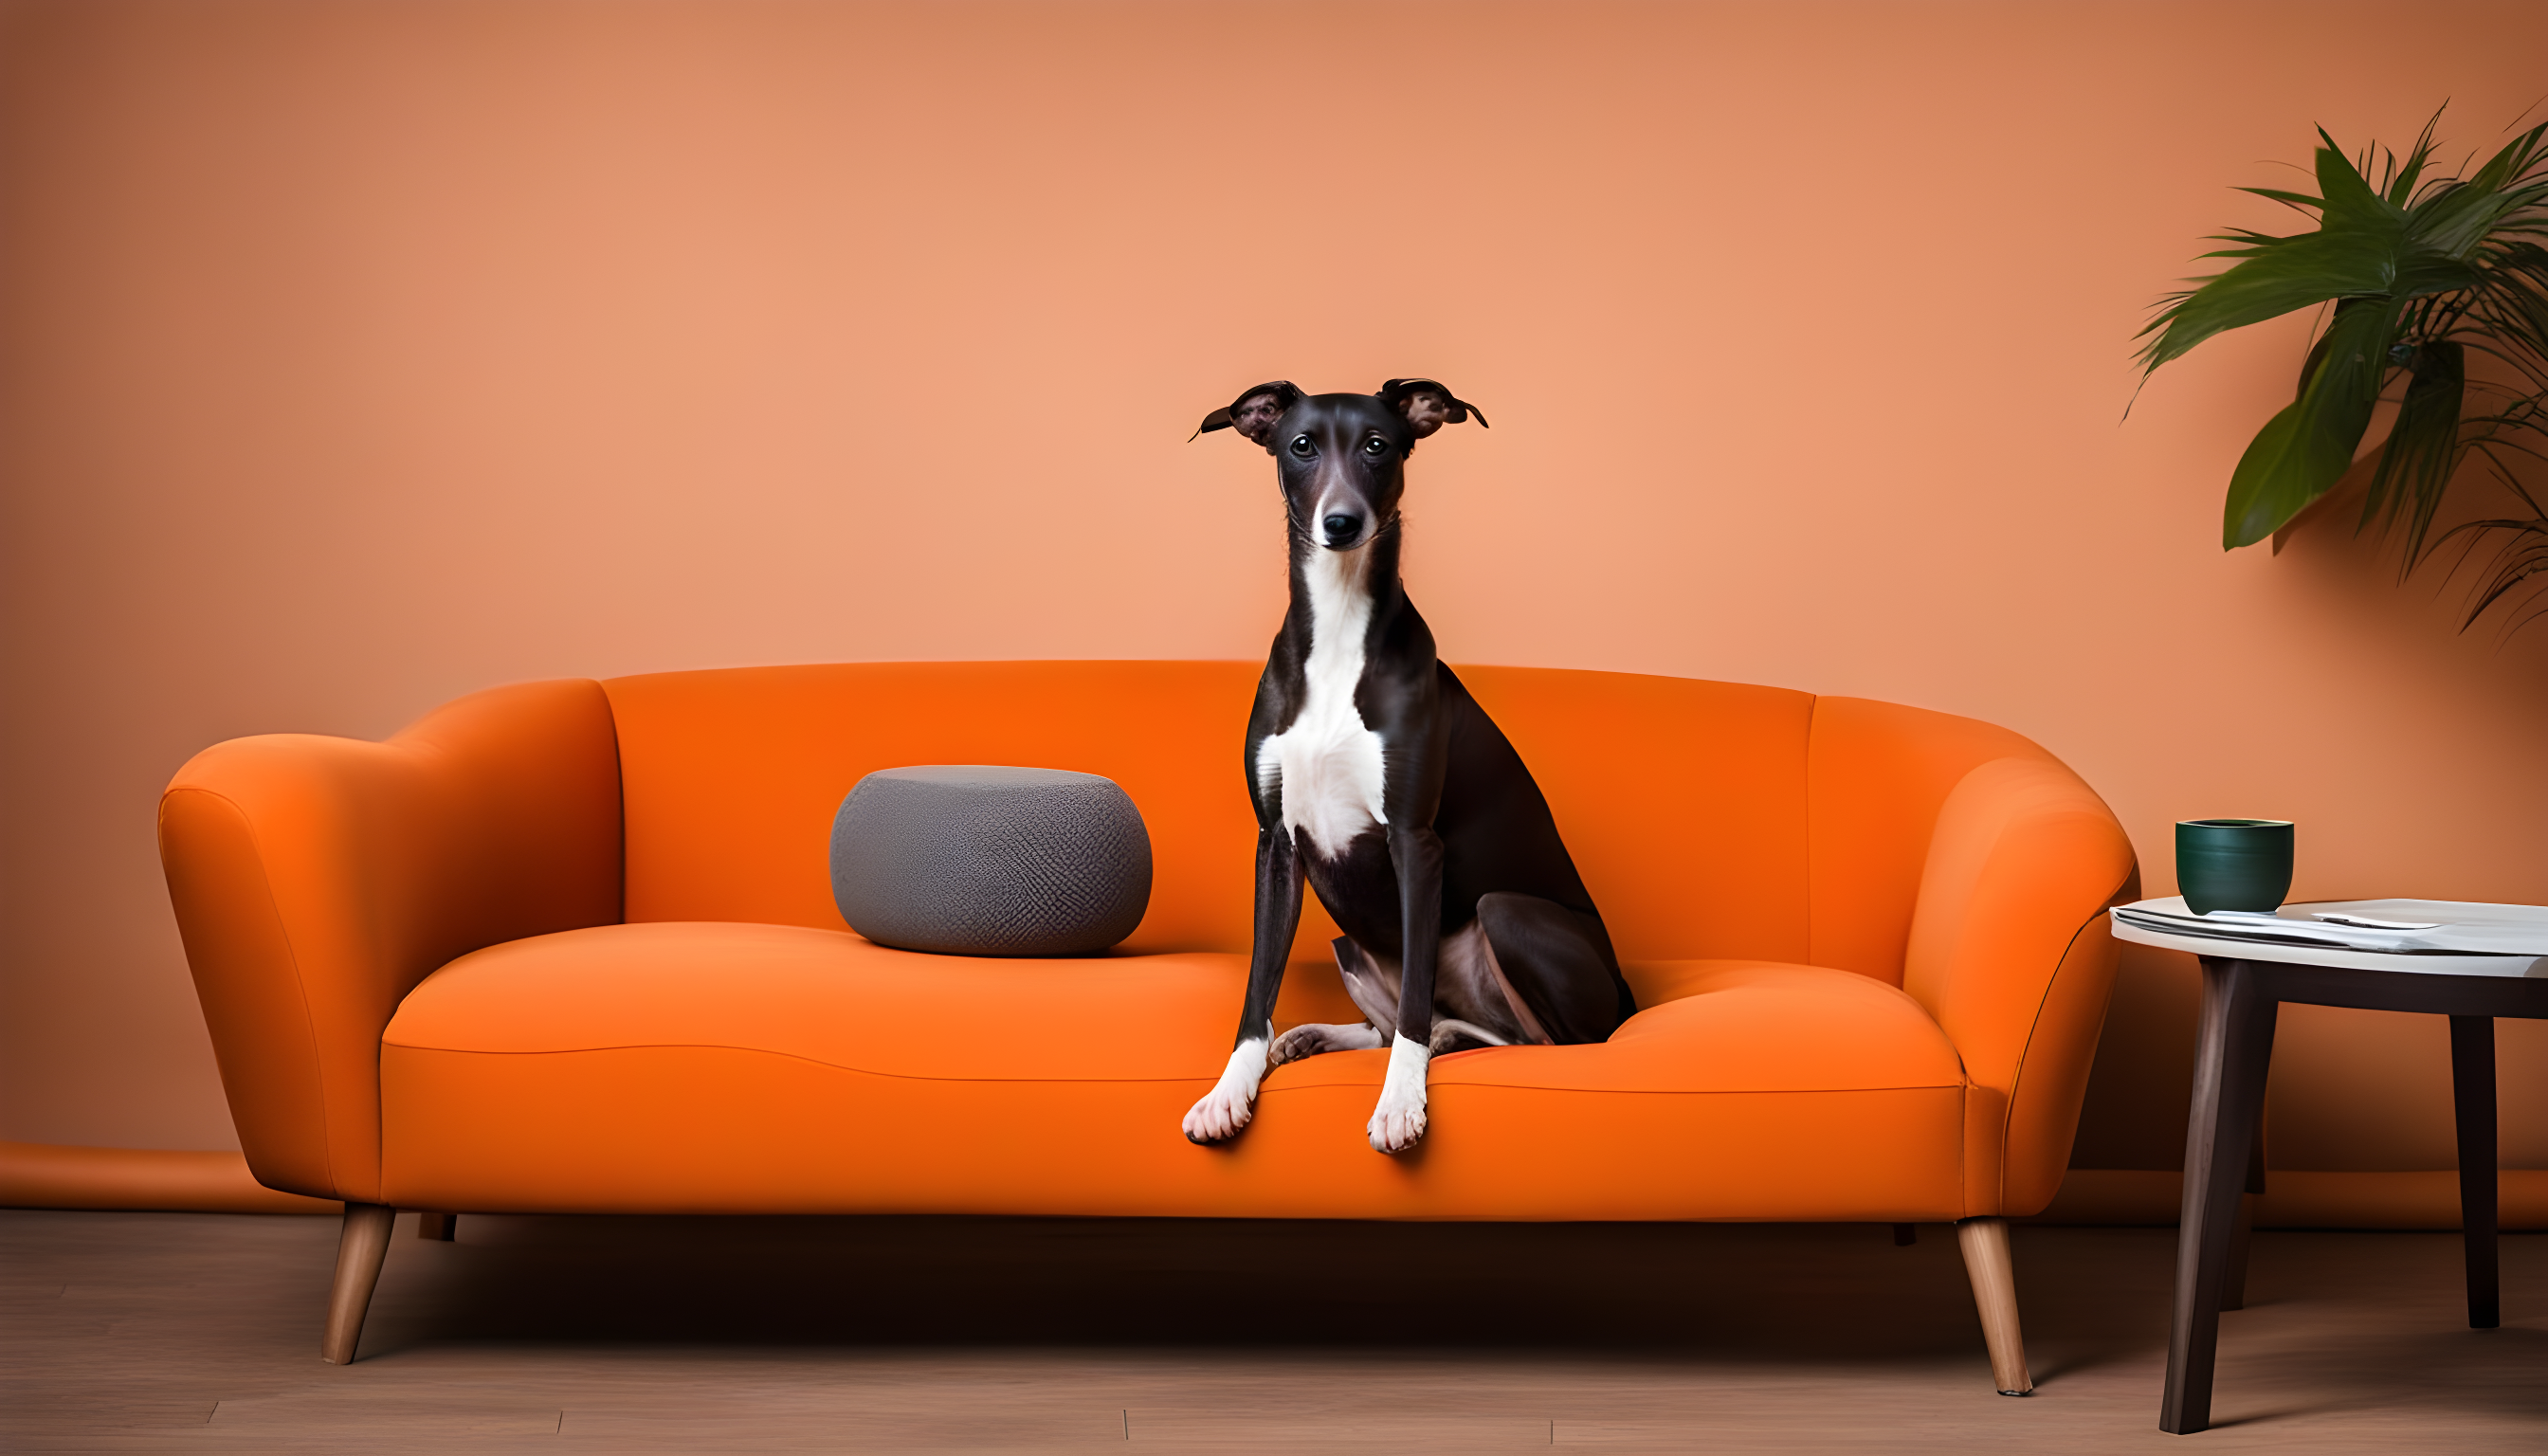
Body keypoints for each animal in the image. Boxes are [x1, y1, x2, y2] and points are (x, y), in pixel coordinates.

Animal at [1176, 382, 1630, 1157]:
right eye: (1301, 445)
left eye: (1376, 445)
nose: (1340, 522)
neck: (1339, 632)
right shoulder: (1276, 843)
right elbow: (1258, 991)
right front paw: (1229, 1091)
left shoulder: (1414, 842)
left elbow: (1415, 1006)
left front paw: (1400, 1104)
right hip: (1346, 943)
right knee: (1393, 1027)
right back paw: (1315, 1037)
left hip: (1507, 915)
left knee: (1531, 1041)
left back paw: (1448, 1037)